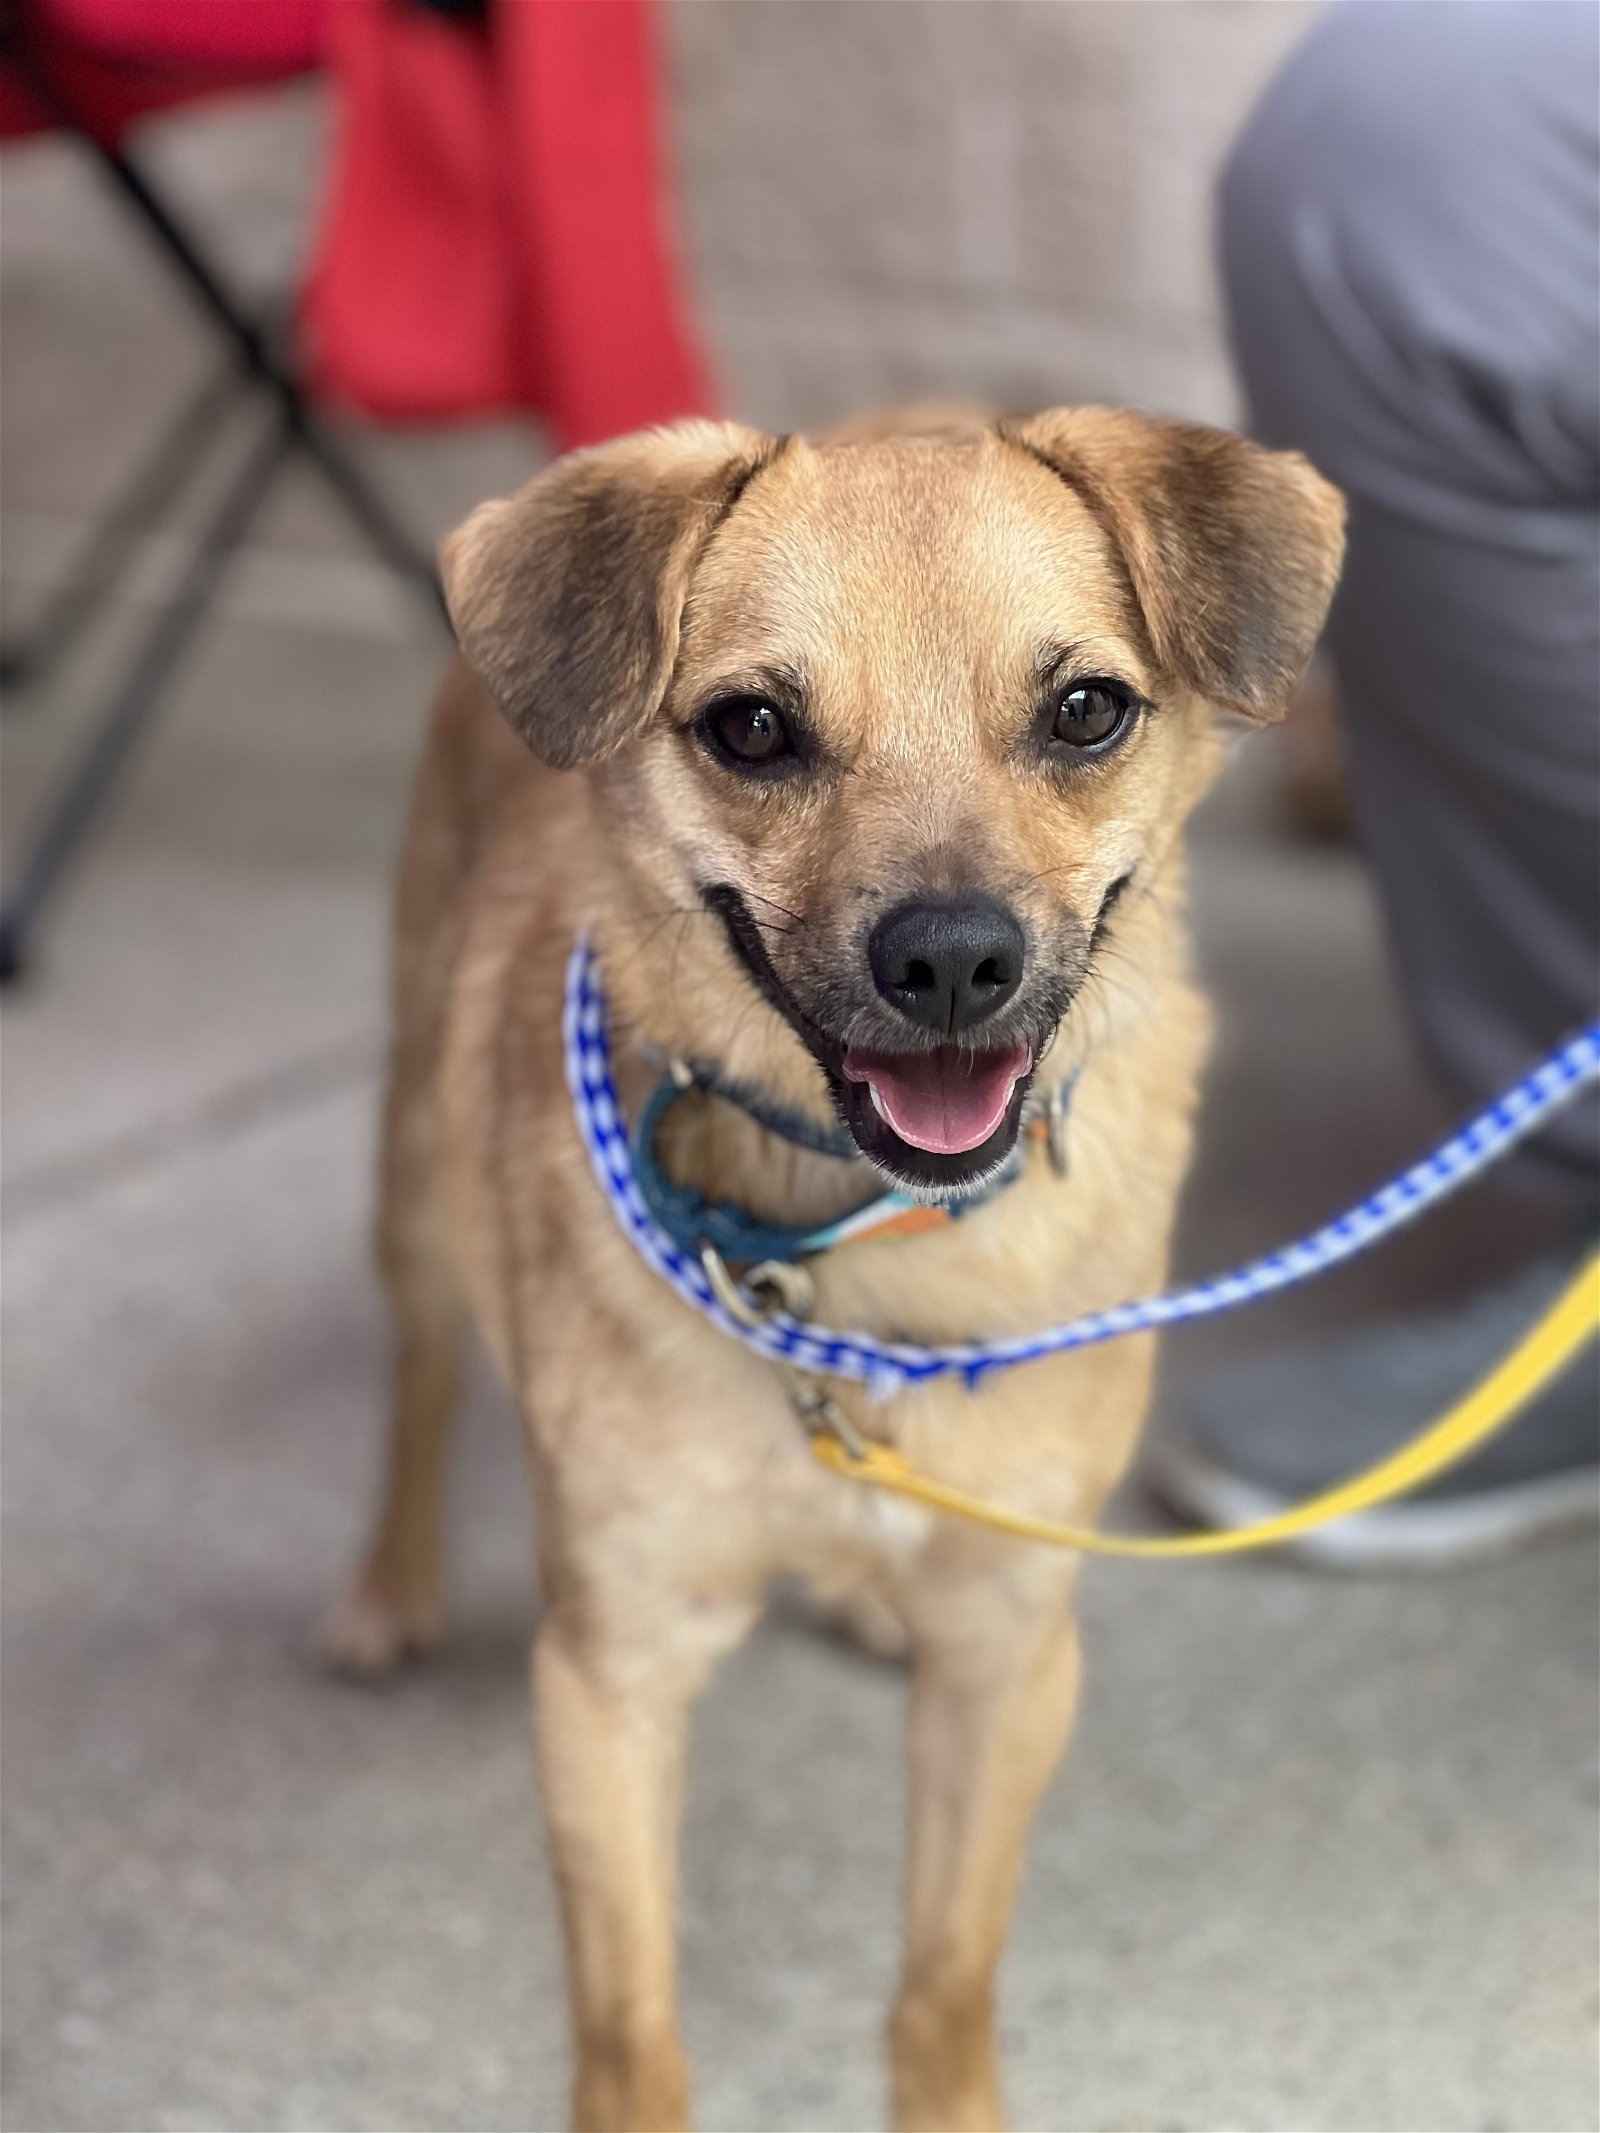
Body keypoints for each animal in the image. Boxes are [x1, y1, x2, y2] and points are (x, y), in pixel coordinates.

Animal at [320, 407, 1348, 2124]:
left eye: (1086, 710)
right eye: (751, 729)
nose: (951, 959)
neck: (851, 1266)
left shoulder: (1008, 1659)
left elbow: (944, 1984)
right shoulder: (610, 1679)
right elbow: (633, 2037)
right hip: (412, 1172)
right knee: (419, 1369)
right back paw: (386, 1588)